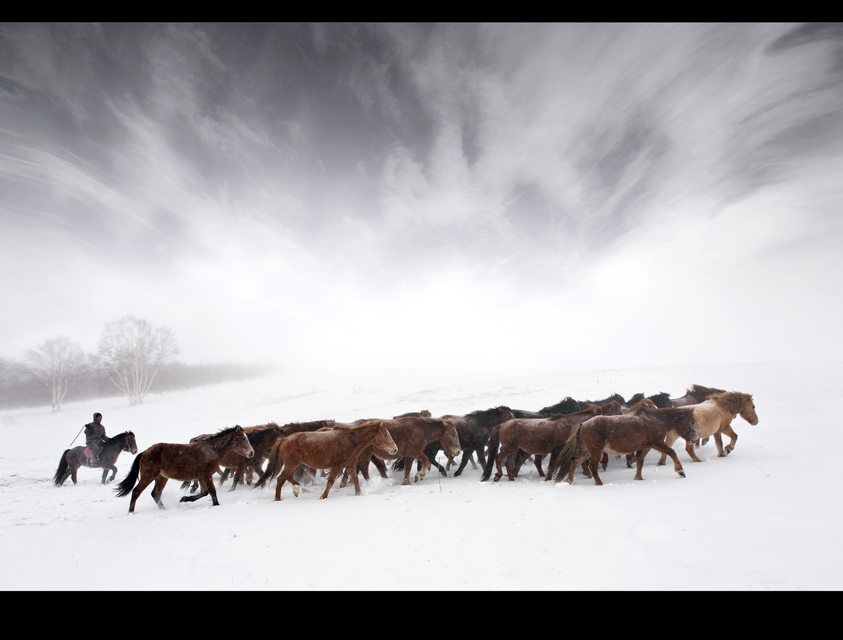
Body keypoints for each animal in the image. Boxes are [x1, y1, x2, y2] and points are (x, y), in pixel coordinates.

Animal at [114, 428, 254, 512]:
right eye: (242, 438)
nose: (251, 453)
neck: (212, 450)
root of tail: (144, 453)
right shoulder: (206, 474)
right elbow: (212, 491)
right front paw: (216, 505)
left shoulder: (202, 475)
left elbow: (205, 492)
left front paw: (185, 498)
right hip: (148, 475)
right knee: (136, 492)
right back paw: (131, 512)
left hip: (161, 477)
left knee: (156, 494)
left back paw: (164, 509)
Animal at [272, 418, 400, 502]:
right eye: (385, 435)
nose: (394, 449)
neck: (351, 440)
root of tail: (283, 440)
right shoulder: (337, 466)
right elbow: (330, 481)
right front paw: (323, 497)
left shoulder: (350, 465)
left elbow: (355, 480)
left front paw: (358, 494)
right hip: (293, 464)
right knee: (282, 478)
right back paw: (291, 491)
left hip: (296, 464)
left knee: (283, 478)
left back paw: (284, 495)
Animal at [548, 404, 700, 484]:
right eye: (691, 422)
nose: (694, 439)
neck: (655, 420)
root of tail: (583, 424)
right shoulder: (656, 443)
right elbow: (672, 452)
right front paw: (680, 471)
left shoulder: (644, 447)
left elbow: (639, 461)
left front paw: (638, 478)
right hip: (596, 451)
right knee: (592, 466)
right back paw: (599, 483)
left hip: (586, 451)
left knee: (574, 462)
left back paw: (569, 480)